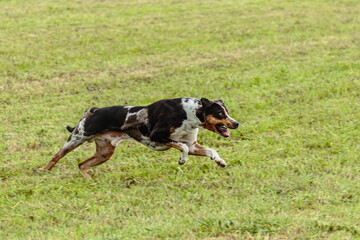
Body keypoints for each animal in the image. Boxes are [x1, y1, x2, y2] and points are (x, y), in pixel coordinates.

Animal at [38, 97, 239, 178]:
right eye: (220, 113)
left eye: (227, 112)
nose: (236, 123)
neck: (190, 113)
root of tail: (94, 110)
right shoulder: (157, 136)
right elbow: (182, 148)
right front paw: (182, 160)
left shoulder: (193, 144)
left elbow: (210, 150)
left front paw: (220, 161)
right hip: (77, 138)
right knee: (56, 156)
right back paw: (42, 170)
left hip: (104, 152)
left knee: (82, 165)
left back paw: (90, 181)